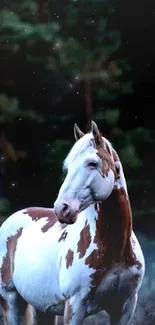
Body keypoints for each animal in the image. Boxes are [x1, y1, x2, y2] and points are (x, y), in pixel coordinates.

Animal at [0, 121, 144, 324]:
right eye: (68, 167)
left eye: (92, 163)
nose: (62, 208)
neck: (114, 250)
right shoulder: (75, 306)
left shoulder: (125, 307)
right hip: (10, 299)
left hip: (44, 308)